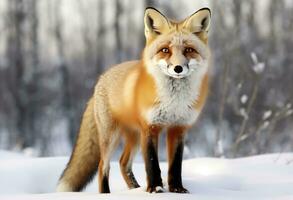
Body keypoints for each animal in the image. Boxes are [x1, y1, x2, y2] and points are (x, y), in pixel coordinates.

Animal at [56, 7, 210, 193]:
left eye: (188, 50)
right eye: (165, 50)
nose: (178, 68)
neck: (173, 101)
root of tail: (101, 79)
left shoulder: (178, 128)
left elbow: (175, 165)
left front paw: (176, 190)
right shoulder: (150, 127)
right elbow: (152, 163)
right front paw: (155, 189)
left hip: (134, 137)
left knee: (123, 163)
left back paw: (135, 188)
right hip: (111, 137)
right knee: (103, 166)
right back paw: (107, 193)